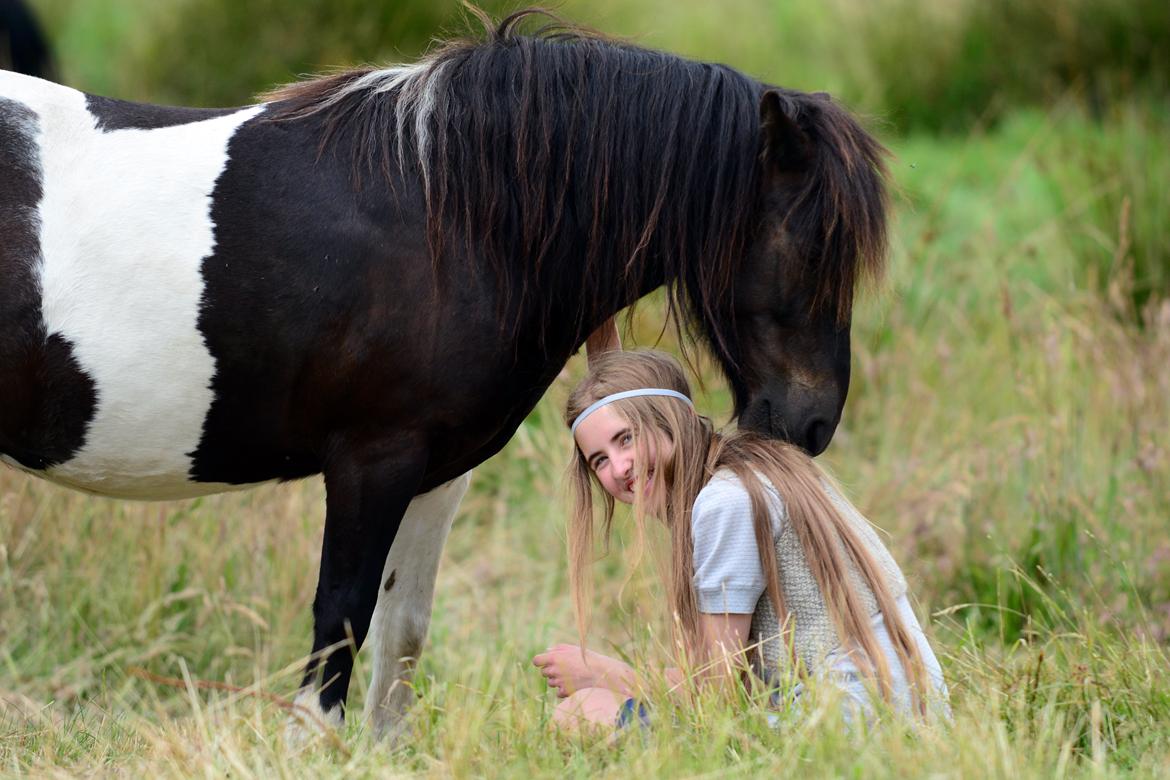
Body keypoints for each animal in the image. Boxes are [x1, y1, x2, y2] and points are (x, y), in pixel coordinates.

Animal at [0, 9, 884, 734]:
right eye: (812, 246)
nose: (810, 422)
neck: (450, 219)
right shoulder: (370, 462)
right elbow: (342, 617)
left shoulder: (434, 474)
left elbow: (402, 628)